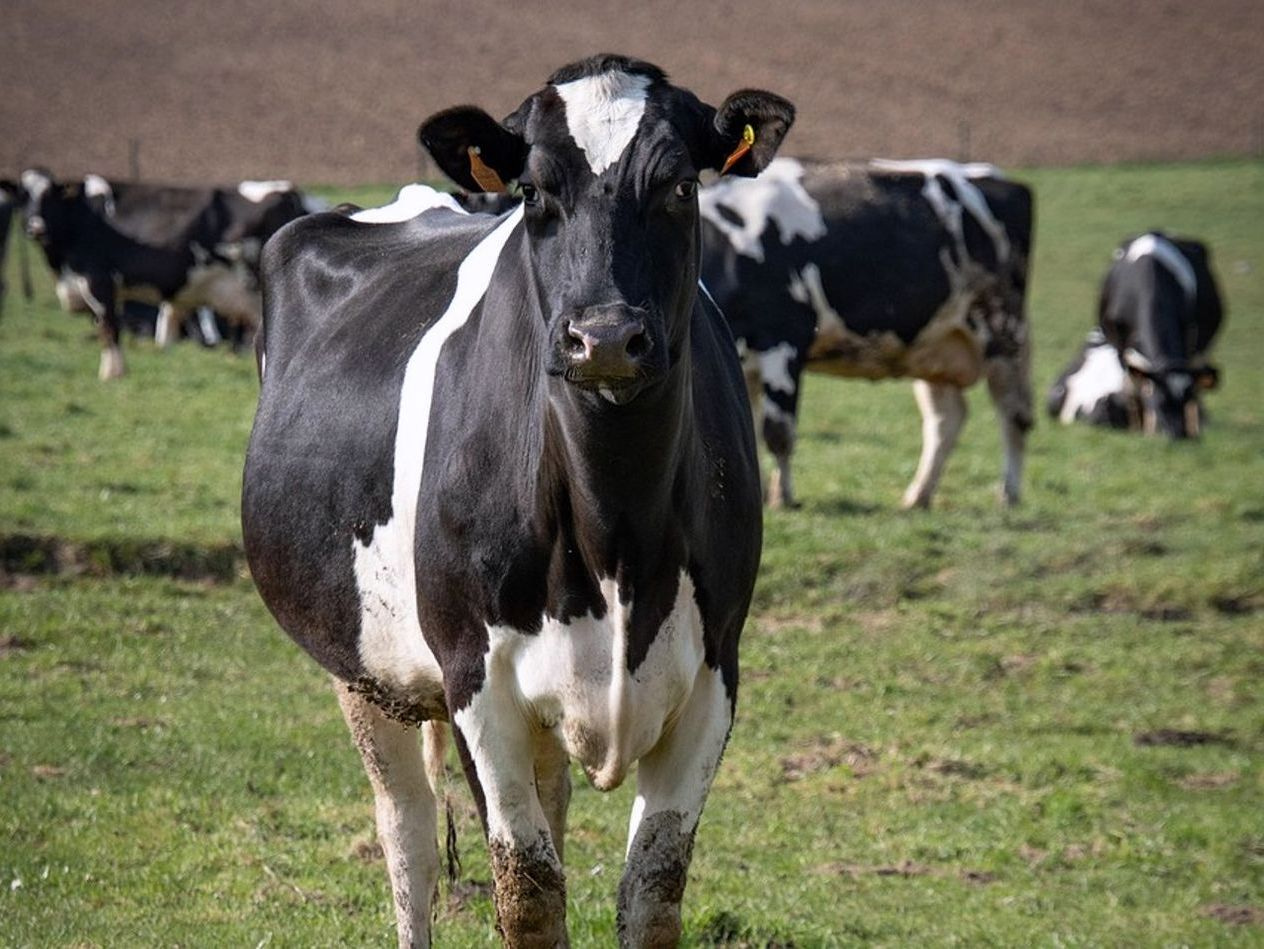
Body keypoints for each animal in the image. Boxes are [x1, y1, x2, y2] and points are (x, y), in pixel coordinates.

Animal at [241, 54, 791, 946]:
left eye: (681, 184)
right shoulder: (477, 681)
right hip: (361, 665)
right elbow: (528, 894)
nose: (604, 338)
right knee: (408, 832)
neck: (616, 527)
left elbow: (653, 893)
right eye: (533, 191)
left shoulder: (714, 674)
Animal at [699, 157, 1034, 509]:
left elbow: (778, 432)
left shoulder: (784, 338)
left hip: (1003, 331)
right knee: (946, 420)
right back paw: (918, 495)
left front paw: (782, 498)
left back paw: (1008, 493)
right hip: (934, 343)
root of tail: (996, 177)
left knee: (1013, 412)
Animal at [1048, 232, 1224, 437]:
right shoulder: (1121, 347)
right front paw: (1143, 429)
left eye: (1186, 400)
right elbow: (1136, 386)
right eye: (1158, 400)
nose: (1177, 434)